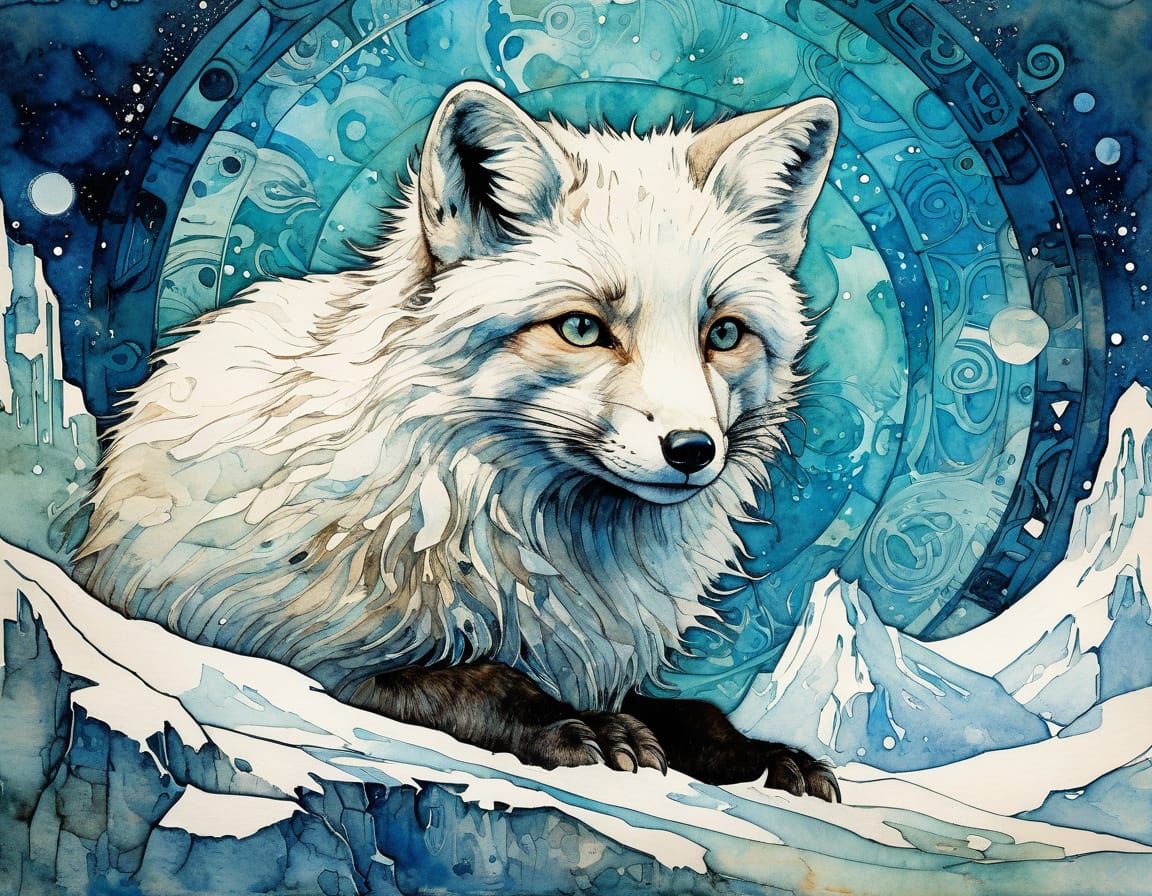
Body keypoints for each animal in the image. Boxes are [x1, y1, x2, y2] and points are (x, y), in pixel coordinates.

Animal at [72, 82, 841, 800]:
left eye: (724, 334)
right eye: (583, 328)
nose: (691, 451)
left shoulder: (599, 662)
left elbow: (694, 715)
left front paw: (765, 758)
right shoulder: (302, 654)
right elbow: (487, 683)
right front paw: (583, 731)